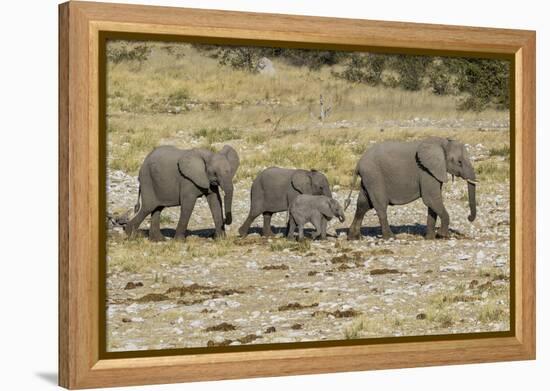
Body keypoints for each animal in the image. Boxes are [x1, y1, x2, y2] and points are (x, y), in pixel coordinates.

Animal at [344, 138, 478, 242]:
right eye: (459, 162)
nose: (469, 217)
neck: (443, 143)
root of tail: (358, 163)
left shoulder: (434, 172)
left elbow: (432, 203)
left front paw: (430, 238)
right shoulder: (426, 171)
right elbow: (431, 199)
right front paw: (442, 236)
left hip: (368, 179)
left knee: (363, 205)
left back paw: (354, 237)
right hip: (374, 177)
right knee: (380, 206)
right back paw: (391, 238)